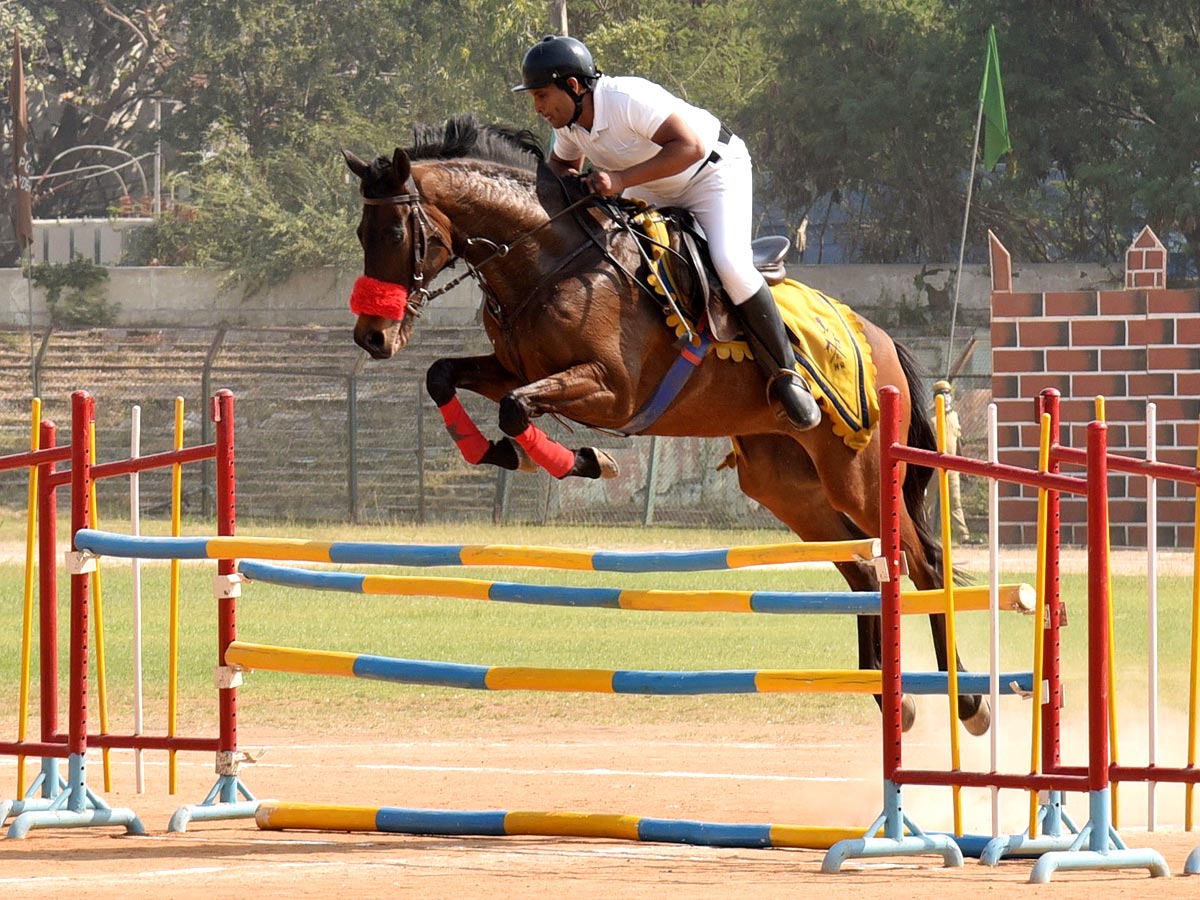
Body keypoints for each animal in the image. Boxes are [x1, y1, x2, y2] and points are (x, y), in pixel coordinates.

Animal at [343, 116, 988, 734]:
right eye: (360, 234)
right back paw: (891, 698)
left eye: (395, 234)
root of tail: (879, 338)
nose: (372, 337)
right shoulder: (512, 369)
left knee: (924, 565)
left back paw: (968, 701)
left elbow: (517, 408)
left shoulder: (612, 391)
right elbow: (444, 377)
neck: (549, 261)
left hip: (858, 474)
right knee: (863, 569)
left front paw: (582, 460)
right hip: (787, 486)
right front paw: (501, 454)